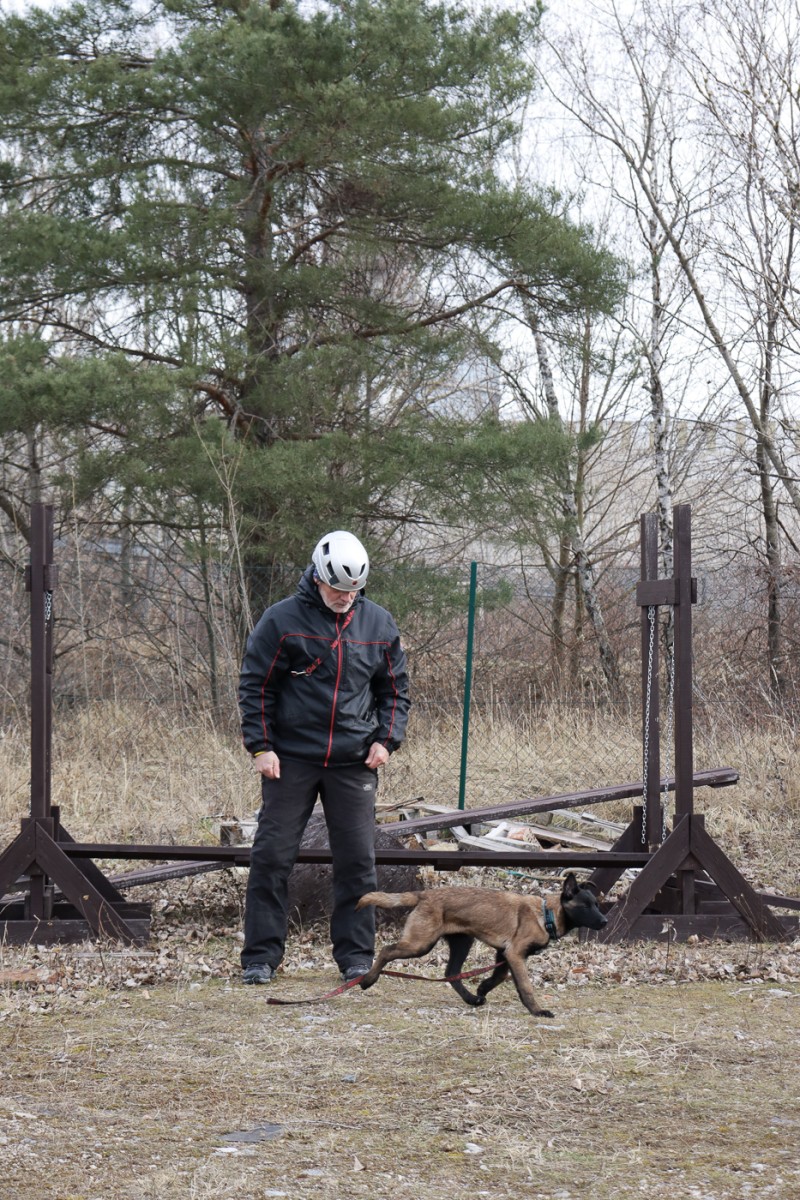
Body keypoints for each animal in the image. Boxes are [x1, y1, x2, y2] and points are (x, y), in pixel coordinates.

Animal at [355, 872, 607, 1017]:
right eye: (586, 906)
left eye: (597, 904)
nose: (604, 921)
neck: (547, 914)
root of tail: (424, 894)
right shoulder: (514, 954)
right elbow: (525, 986)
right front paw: (537, 1010)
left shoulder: (504, 954)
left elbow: (499, 977)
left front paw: (482, 989)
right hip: (421, 944)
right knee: (387, 950)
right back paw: (368, 980)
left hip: (462, 942)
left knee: (451, 973)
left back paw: (471, 999)